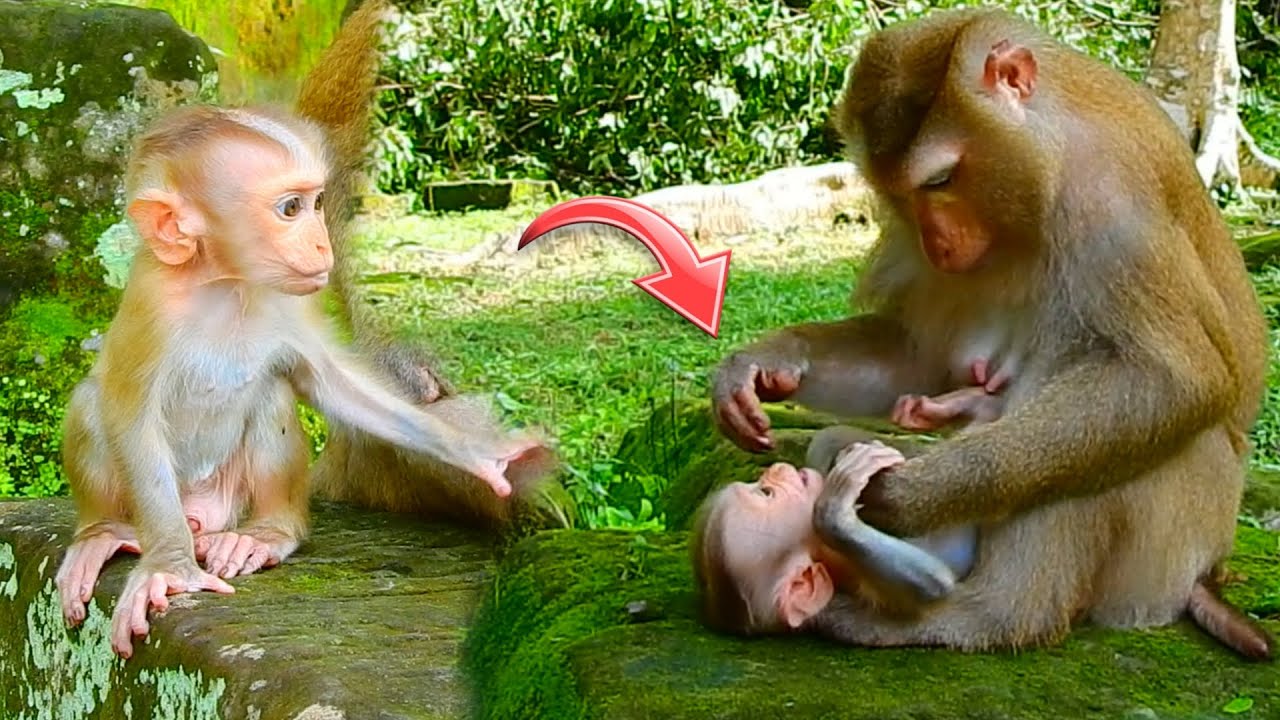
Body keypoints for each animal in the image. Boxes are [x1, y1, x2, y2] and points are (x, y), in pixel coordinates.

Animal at [54, 101, 547, 659]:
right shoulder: (153, 310)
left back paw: (268, 533)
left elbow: (332, 384)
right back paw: (104, 532)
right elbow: (130, 414)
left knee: (270, 395)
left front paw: (479, 453)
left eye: (316, 203)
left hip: (232, 496)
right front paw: (170, 568)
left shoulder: (289, 304)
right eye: (291, 208)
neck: (225, 287)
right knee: (92, 401)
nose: (322, 243)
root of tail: (202, 515)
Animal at [709, 7, 1273, 660]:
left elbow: (1175, 379)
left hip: (1174, 544)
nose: (936, 243)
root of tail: (1208, 572)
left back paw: (987, 617)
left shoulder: (1110, 199)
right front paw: (766, 362)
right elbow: (913, 355)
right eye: (897, 195)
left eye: (940, 180)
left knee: (1107, 426)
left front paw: (913, 494)